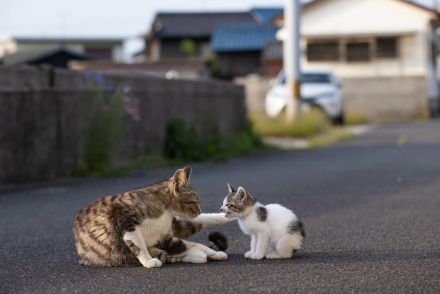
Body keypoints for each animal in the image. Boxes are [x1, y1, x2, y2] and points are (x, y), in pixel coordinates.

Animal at [73, 167, 230, 268]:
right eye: (194, 202)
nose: (199, 210)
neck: (166, 212)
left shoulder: (164, 237)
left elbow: (189, 244)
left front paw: (213, 252)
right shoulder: (124, 221)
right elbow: (138, 245)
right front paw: (148, 261)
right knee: (167, 255)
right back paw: (198, 256)